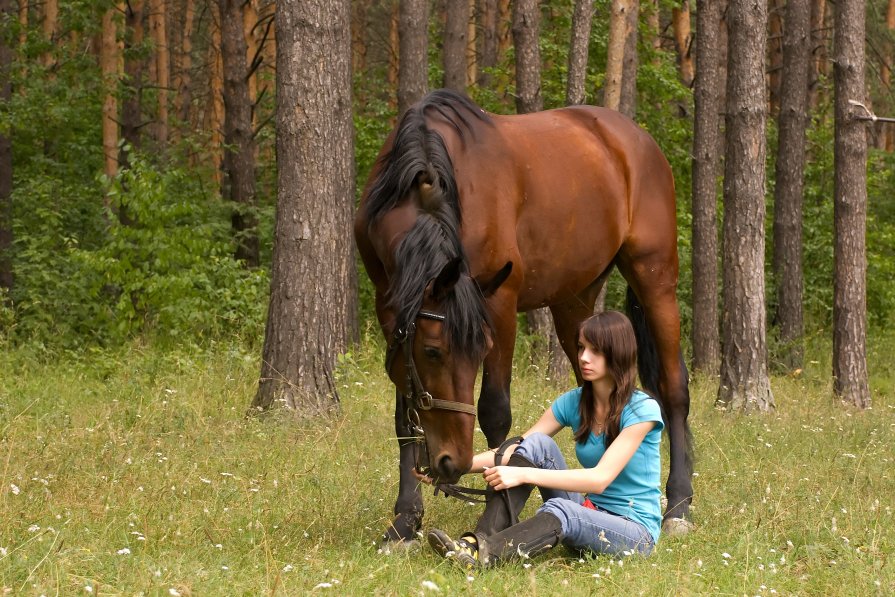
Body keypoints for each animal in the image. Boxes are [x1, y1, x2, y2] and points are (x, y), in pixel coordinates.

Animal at [354, 89, 696, 548]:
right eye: (432, 351)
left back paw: (678, 505)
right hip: (575, 302)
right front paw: (405, 521)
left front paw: (494, 517)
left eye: (479, 349)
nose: (451, 461)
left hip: (654, 277)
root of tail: (636, 140)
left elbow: (495, 411)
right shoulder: (390, 308)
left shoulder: (499, 304)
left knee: (674, 390)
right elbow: (405, 415)